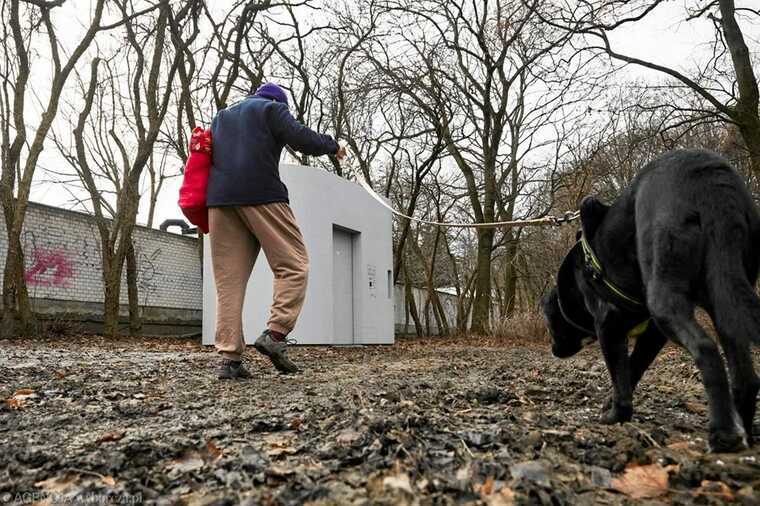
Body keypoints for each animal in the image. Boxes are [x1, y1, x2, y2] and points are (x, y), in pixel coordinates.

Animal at [544, 148, 760, 452]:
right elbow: (633, 367)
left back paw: (723, 433)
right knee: (745, 375)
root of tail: (708, 180)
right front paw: (611, 405)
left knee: (706, 348)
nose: (554, 350)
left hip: (664, 295)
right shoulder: (653, 334)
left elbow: (620, 373)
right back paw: (743, 431)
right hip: (727, 291)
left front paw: (616, 415)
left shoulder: (608, 325)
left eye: (551, 324)